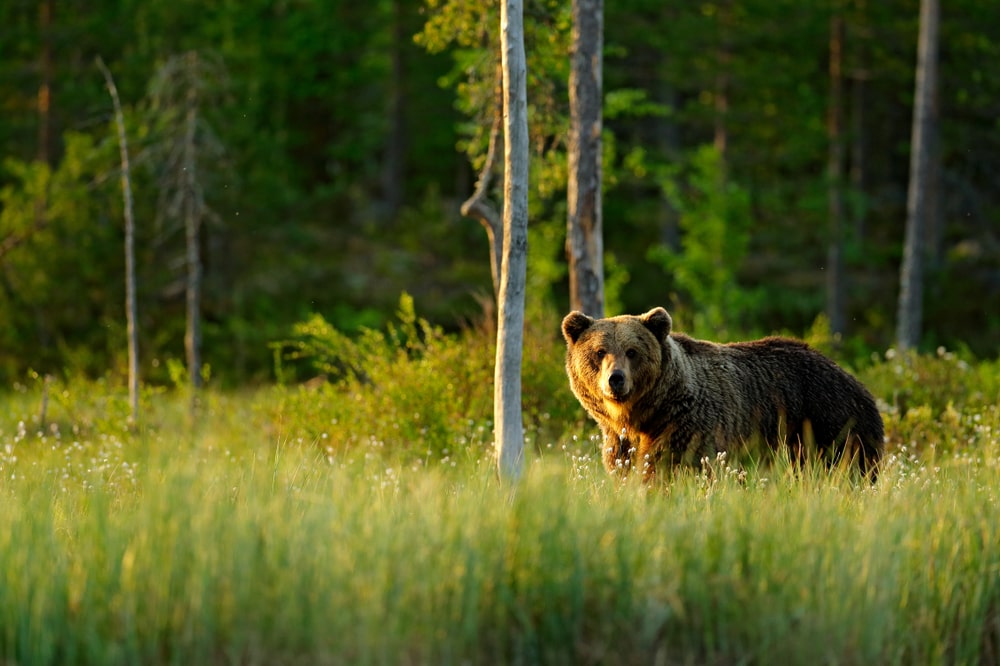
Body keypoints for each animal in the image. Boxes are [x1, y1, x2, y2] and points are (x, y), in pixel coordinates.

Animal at [561, 307, 884, 481]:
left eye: (632, 351)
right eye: (599, 351)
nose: (615, 379)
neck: (646, 414)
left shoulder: (687, 428)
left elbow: (667, 469)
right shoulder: (620, 441)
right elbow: (624, 467)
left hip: (829, 425)